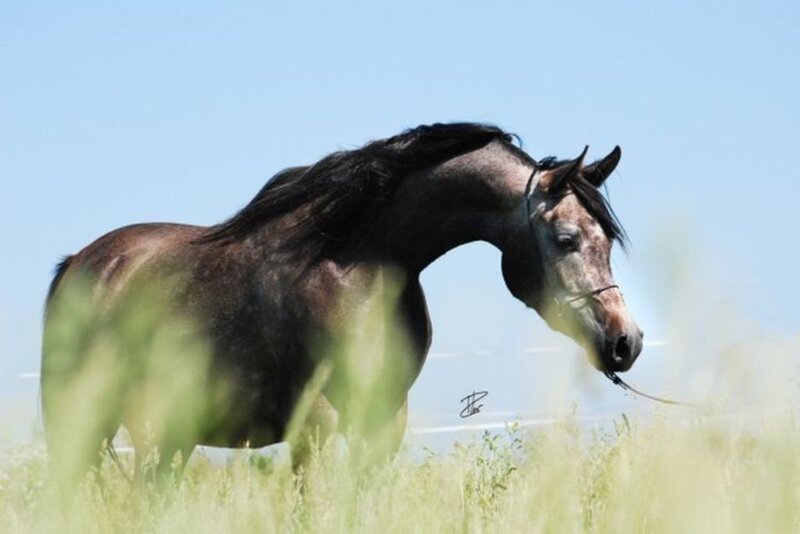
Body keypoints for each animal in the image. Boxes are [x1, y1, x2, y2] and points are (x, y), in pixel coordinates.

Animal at [41, 123, 643, 486]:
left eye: (608, 242)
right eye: (566, 238)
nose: (625, 342)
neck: (360, 265)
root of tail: (80, 264)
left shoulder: (384, 422)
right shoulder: (317, 425)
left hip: (166, 433)